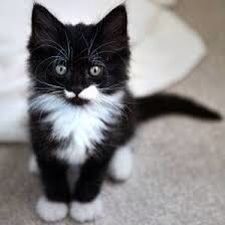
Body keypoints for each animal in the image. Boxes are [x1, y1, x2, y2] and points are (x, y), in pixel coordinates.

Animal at [26, 2, 221, 223]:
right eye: (61, 68)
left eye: (95, 70)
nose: (77, 88)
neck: (78, 112)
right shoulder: (40, 126)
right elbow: (50, 170)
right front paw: (55, 204)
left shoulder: (106, 135)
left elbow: (93, 174)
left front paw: (84, 206)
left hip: (127, 110)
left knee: (126, 135)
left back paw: (121, 164)